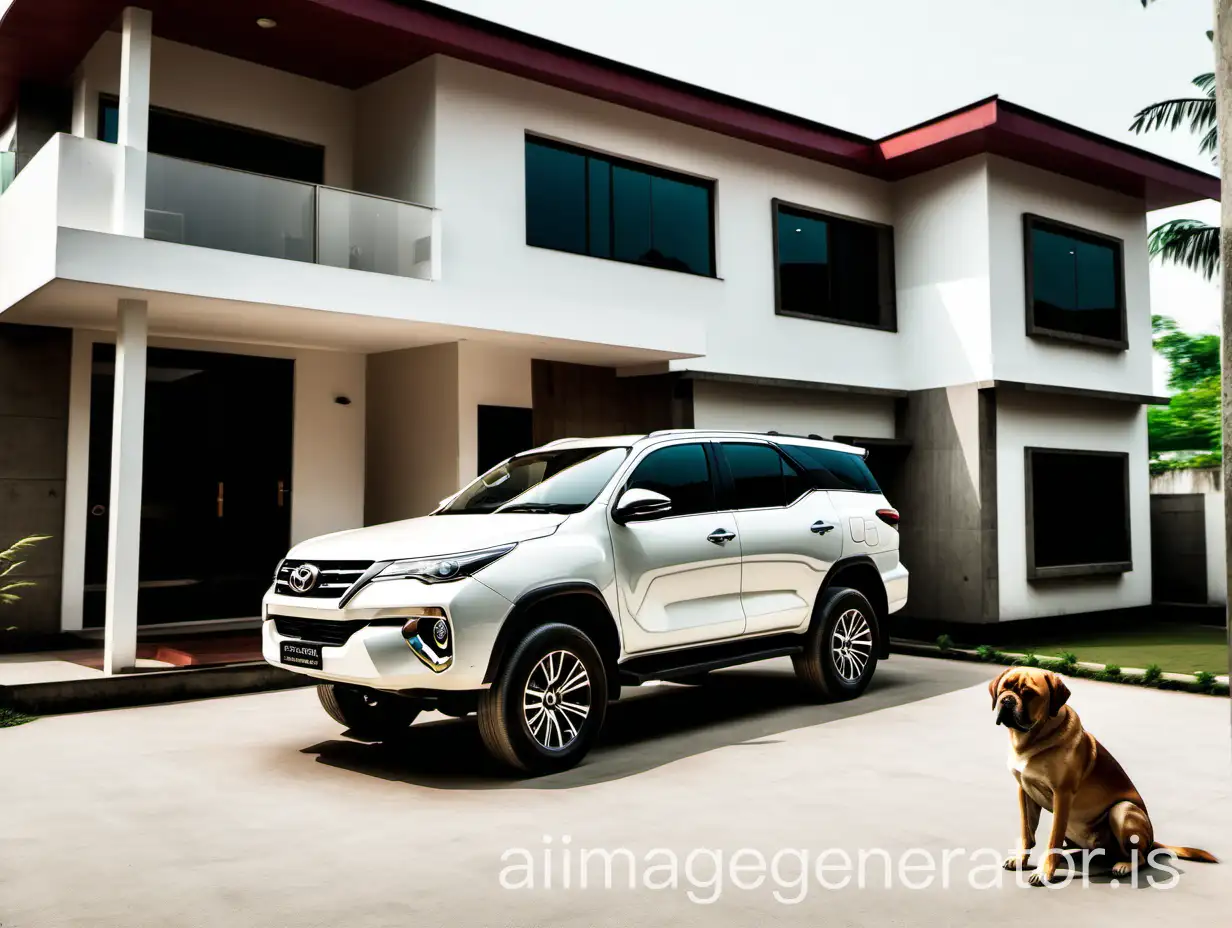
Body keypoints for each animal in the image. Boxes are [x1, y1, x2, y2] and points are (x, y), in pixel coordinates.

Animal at [990, 665, 1212, 882]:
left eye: (1028, 693)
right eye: (1003, 688)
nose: (1007, 700)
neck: (1032, 739)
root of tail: (1152, 842)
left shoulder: (1062, 795)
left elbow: (1053, 838)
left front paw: (1044, 872)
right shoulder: (1024, 792)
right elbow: (1027, 831)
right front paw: (1021, 860)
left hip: (1122, 810)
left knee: (1140, 857)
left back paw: (1123, 865)